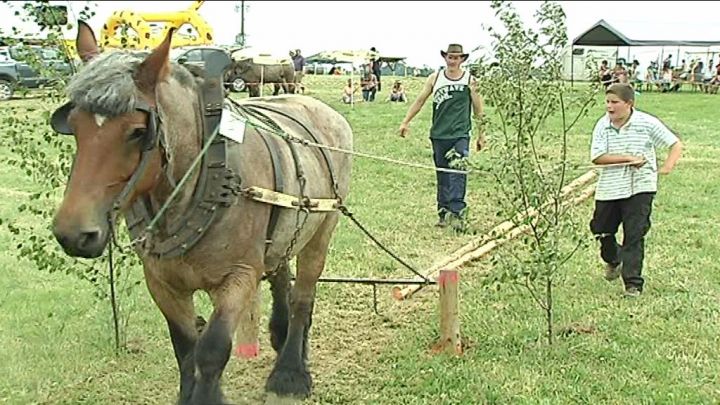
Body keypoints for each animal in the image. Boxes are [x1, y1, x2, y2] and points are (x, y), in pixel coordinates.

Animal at [49, 21, 353, 404]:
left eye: (137, 131)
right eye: (74, 125)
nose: (74, 234)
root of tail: (321, 107)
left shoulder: (239, 276)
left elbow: (211, 351)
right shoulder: (161, 282)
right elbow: (185, 348)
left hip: (324, 227)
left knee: (303, 295)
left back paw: (290, 370)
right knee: (281, 273)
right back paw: (281, 335)